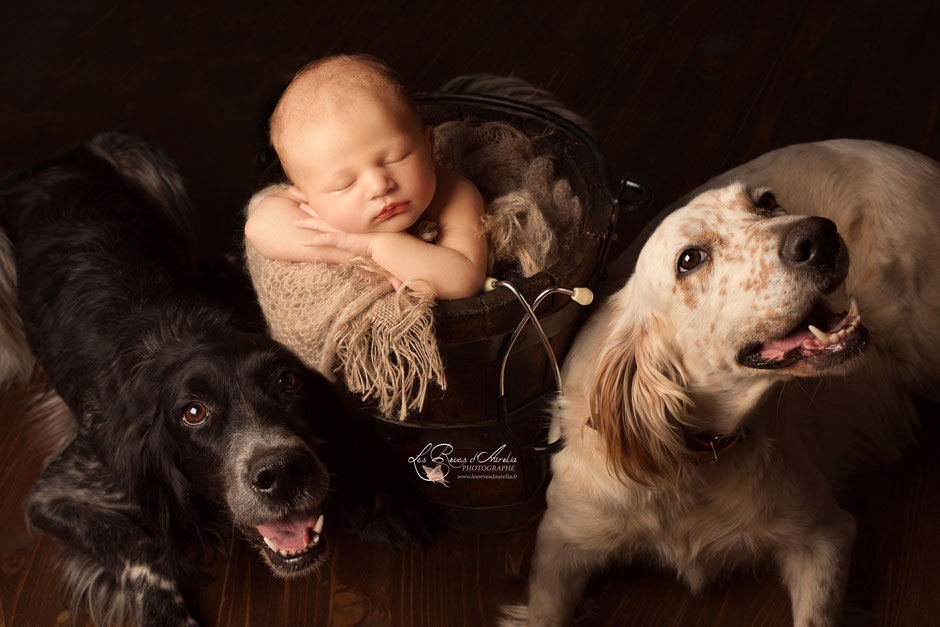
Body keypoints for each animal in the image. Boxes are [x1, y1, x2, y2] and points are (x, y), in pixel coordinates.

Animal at [0, 135, 432, 624]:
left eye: (288, 382)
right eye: (193, 413)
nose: (282, 473)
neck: (179, 338)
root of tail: (59, 159)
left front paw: (376, 504)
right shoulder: (58, 490)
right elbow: (138, 547)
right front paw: (165, 611)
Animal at [504, 140, 936, 624]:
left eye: (767, 202)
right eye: (690, 260)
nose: (820, 235)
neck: (695, 459)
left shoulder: (825, 534)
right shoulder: (562, 539)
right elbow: (545, 611)